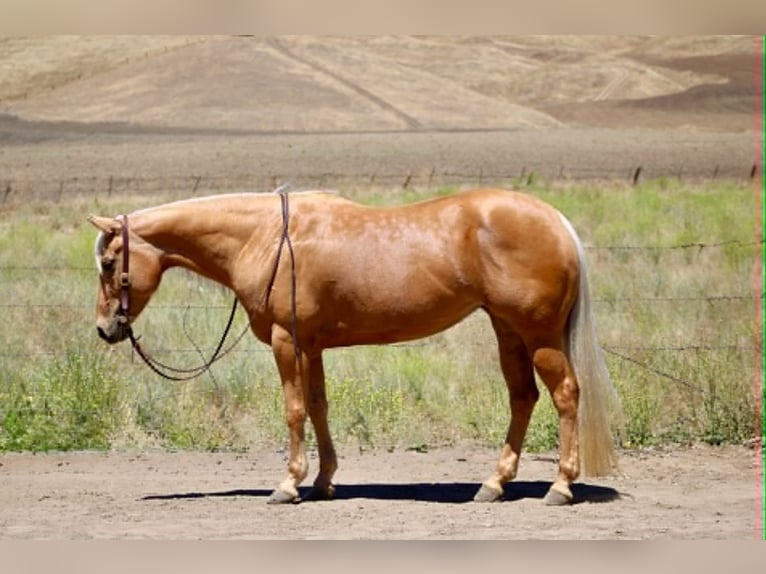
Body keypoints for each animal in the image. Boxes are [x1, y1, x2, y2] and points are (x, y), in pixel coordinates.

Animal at [89, 187, 619, 505]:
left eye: (110, 262)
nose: (104, 329)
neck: (266, 237)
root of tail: (555, 220)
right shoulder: (312, 346)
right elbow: (318, 406)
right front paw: (323, 481)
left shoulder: (287, 342)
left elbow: (294, 410)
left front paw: (288, 484)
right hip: (508, 330)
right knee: (522, 397)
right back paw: (493, 484)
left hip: (539, 335)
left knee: (565, 395)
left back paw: (560, 486)